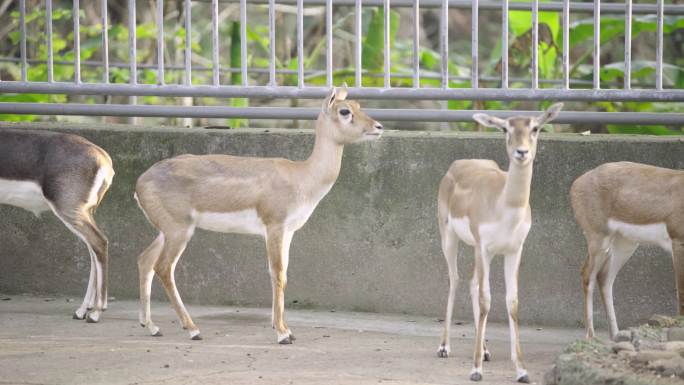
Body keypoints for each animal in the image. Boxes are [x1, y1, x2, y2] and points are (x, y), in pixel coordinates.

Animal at [0, 128, 115, 320]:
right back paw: (83, 310)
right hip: (84, 212)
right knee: (93, 249)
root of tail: (103, 158)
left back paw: (96, 312)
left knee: (99, 242)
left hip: (69, 210)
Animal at [131, 86, 382, 342]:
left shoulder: (288, 232)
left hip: (166, 231)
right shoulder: (274, 226)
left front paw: (284, 328)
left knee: (145, 260)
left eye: (359, 105)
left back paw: (151, 326)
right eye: (345, 111)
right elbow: (277, 273)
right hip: (179, 230)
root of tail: (140, 182)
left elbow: (283, 274)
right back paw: (192, 329)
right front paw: (282, 333)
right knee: (163, 267)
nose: (378, 127)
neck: (302, 176)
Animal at [436, 103, 564, 380]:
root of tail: (456, 165)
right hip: (449, 237)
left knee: (472, 283)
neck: (504, 205)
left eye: (535, 128)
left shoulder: (513, 250)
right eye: (506, 128)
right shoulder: (484, 247)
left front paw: (522, 370)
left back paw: (484, 350)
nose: (522, 152)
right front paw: (475, 370)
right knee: (455, 279)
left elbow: (511, 302)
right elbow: (487, 300)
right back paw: (444, 347)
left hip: (480, 250)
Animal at [568, 161, 680, 340]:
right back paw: (591, 336)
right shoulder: (678, 244)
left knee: (604, 278)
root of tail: (578, 181)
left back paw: (616, 335)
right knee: (587, 274)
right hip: (600, 241)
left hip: (625, 245)